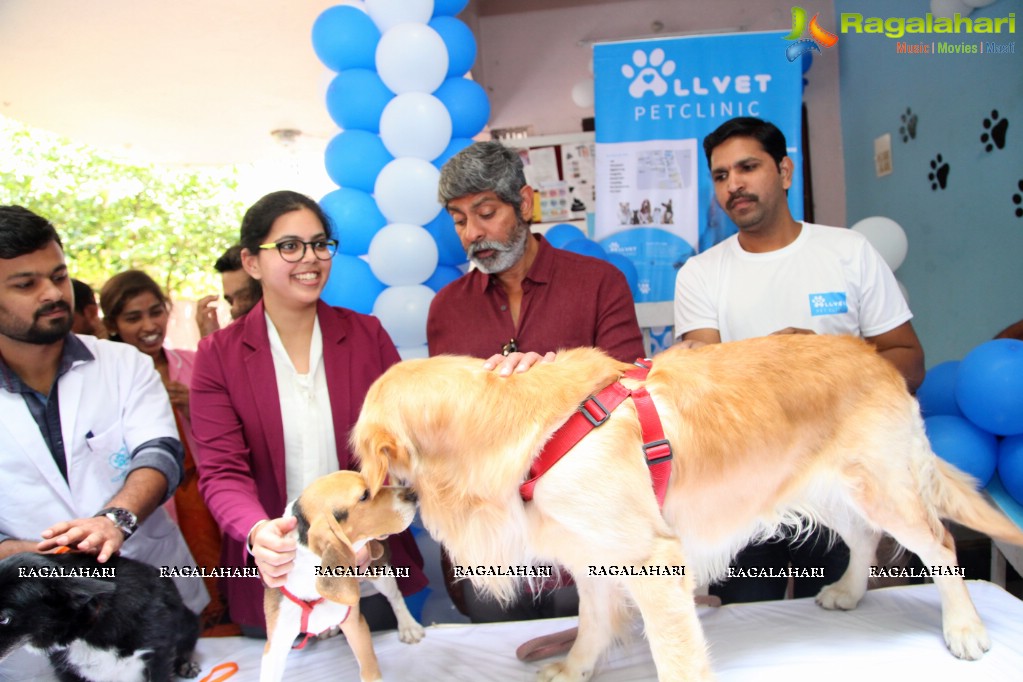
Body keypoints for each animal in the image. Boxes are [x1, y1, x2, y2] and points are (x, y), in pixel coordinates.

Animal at [263, 472, 427, 682]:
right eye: (364, 495)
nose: (412, 493)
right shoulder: (275, 645)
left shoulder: (357, 626)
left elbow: (369, 671)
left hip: (379, 572)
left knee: (395, 597)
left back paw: (408, 626)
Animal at [351, 335, 1023, 682]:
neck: (527, 432)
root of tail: (873, 355)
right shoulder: (594, 554)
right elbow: (593, 622)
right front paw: (575, 667)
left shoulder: (652, 558)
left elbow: (674, 652)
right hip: (822, 485)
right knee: (861, 538)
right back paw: (849, 592)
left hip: (882, 485)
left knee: (938, 545)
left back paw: (964, 629)